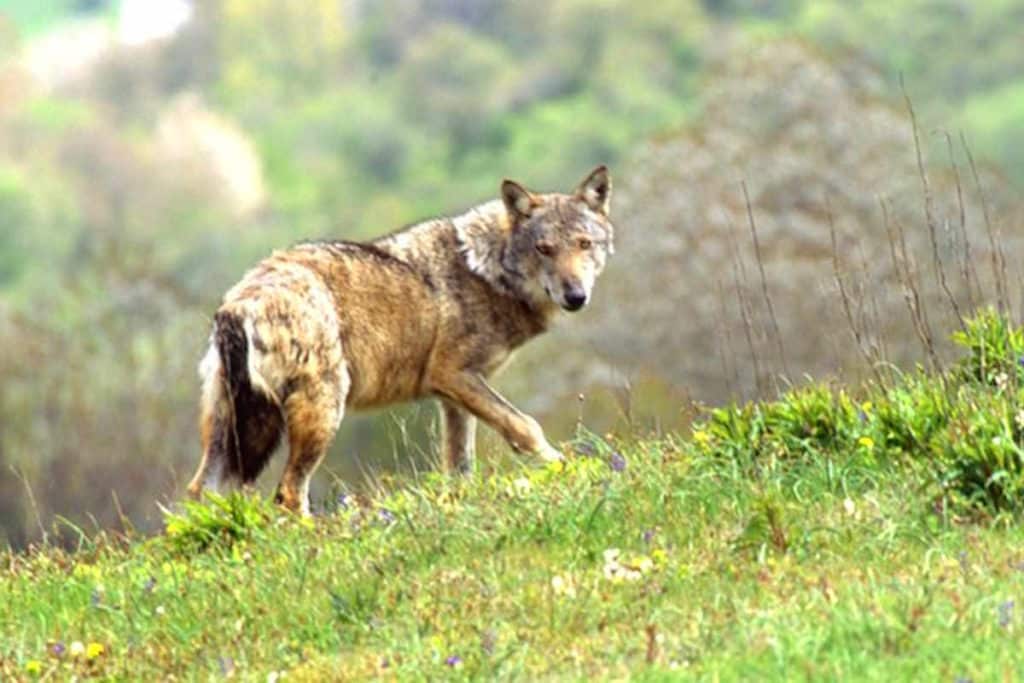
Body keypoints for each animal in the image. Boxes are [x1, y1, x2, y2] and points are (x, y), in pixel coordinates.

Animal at [186, 166, 615, 514]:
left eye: (583, 244)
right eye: (544, 249)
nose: (576, 296)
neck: (486, 271)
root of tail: (237, 304)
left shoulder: (454, 397)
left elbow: (459, 467)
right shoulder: (451, 375)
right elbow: (526, 427)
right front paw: (567, 468)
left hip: (231, 431)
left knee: (199, 492)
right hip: (322, 411)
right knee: (289, 493)